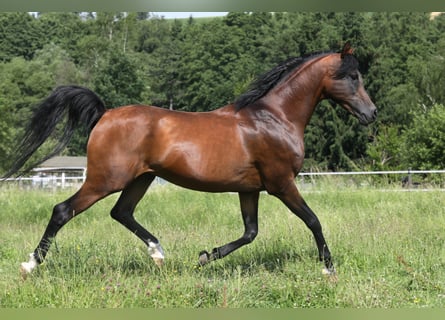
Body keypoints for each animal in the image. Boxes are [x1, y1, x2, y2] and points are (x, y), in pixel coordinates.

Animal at [5, 42, 376, 278]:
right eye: (352, 76)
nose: (371, 114)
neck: (273, 118)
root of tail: (105, 114)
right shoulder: (281, 184)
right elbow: (313, 221)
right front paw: (328, 268)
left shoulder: (249, 189)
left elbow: (250, 232)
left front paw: (204, 257)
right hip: (105, 179)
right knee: (63, 211)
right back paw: (29, 265)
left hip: (140, 178)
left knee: (121, 212)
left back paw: (158, 253)